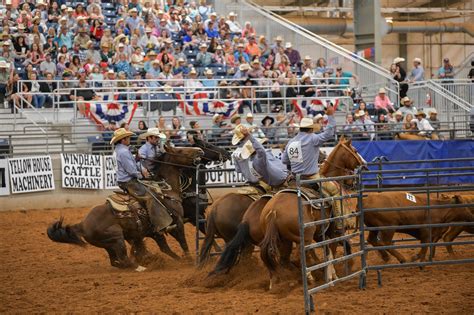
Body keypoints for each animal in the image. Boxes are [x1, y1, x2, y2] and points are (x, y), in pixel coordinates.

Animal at [47, 146, 205, 270]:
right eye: (180, 150)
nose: (200, 150)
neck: (167, 191)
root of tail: (82, 224)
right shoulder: (176, 221)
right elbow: (182, 242)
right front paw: (189, 260)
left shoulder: (154, 232)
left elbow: (165, 247)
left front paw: (180, 260)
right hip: (117, 238)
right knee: (122, 258)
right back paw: (141, 267)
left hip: (108, 244)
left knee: (115, 261)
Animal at [260, 138, 366, 288]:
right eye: (355, 150)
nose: (365, 164)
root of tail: (273, 210)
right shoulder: (332, 232)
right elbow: (332, 251)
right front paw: (332, 276)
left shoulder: (320, 233)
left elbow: (328, 252)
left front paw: (329, 274)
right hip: (304, 238)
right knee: (300, 254)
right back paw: (309, 277)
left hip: (283, 239)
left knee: (278, 257)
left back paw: (275, 281)